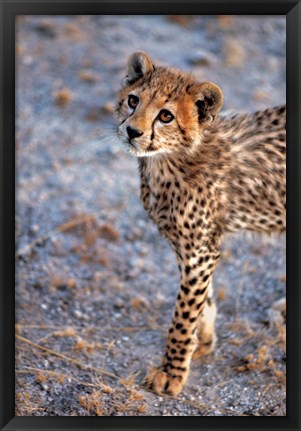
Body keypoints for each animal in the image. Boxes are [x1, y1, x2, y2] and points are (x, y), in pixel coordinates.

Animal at [114, 50, 284, 394]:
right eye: (133, 100)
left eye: (166, 116)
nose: (132, 131)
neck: (170, 161)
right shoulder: (190, 245)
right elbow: (202, 299)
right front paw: (201, 341)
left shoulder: (200, 250)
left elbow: (184, 312)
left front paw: (173, 369)